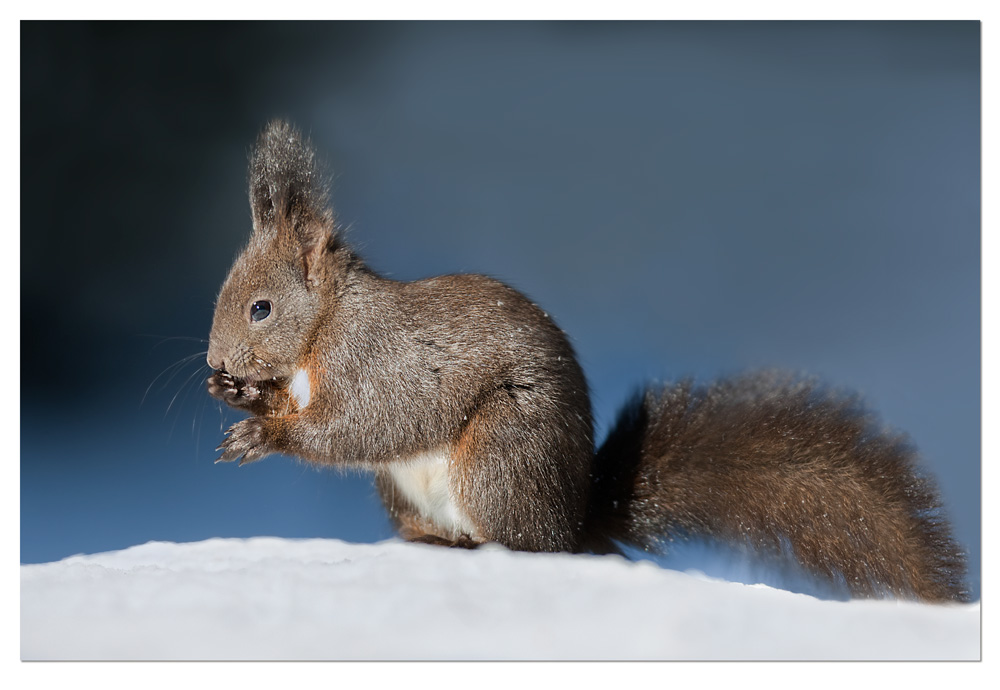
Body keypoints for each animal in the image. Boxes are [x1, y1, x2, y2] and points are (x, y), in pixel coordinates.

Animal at [206, 120, 969, 603]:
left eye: (261, 308)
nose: (215, 362)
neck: (325, 327)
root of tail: (572, 519)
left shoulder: (377, 362)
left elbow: (361, 426)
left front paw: (265, 429)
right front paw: (243, 397)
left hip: (500, 453)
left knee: (525, 549)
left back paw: (475, 548)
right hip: (408, 490)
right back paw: (431, 542)